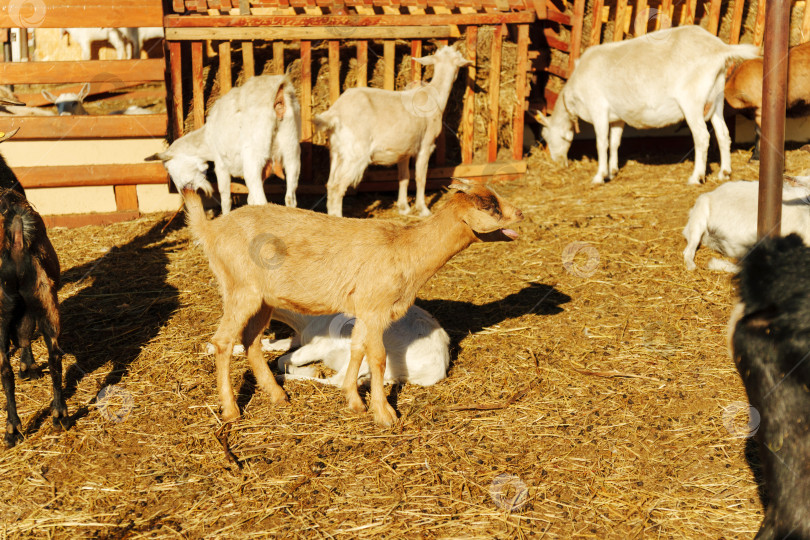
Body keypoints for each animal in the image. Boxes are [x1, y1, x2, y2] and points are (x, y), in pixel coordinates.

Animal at [183, 179, 522, 426]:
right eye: (490, 207)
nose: (520, 214)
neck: (407, 250)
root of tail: (210, 230)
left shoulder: (366, 311)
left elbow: (358, 349)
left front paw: (355, 401)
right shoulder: (376, 309)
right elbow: (378, 358)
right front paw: (385, 414)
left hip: (261, 299)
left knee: (251, 341)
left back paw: (278, 395)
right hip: (241, 289)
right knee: (224, 342)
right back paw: (230, 410)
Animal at [313, 46, 472, 217]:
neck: (433, 95)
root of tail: (335, 113)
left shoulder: (404, 150)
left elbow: (404, 177)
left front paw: (404, 208)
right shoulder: (426, 145)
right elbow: (420, 178)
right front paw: (423, 209)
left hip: (337, 151)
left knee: (330, 184)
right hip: (355, 153)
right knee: (337, 187)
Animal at [536, 25, 760, 185]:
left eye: (546, 137)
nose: (557, 163)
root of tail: (719, 48)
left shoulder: (598, 108)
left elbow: (601, 143)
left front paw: (599, 176)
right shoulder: (617, 117)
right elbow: (614, 143)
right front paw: (612, 171)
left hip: (692, 101)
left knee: (702, 137)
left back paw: (696, 177)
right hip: (716, 99)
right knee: (723, 134)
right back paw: (724, 173)